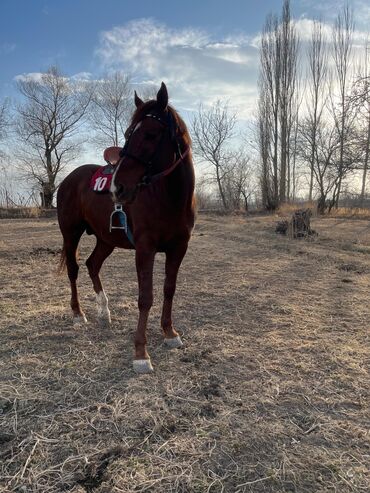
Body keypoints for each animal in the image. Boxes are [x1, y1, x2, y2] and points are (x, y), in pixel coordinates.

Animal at [56, 82, 195, 370]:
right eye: (130, 134)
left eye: (151, 134)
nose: (117, 188)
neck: (169, 198)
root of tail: (68, 179)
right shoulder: (145, 249)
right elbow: (145, 298)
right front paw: (141, 353)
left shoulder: (179, 248)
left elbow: (169, 290)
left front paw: (170, 333)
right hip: (71, 233)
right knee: (74, 269)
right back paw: (78, 314)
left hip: (105, 239)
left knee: (92, 265)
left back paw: (104, 311)